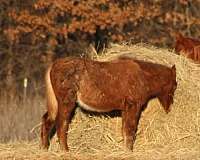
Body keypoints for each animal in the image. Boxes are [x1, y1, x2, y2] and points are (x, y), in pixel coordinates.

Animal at [40, 57, 177, 152]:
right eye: (175, 85)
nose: (170, 107)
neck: (143, 76)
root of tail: (54, 65)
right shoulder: (133, 106)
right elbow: (130, 130)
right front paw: (129, 151)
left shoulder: (125, 109)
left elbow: (125, 130)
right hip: (66, 103)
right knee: (61, 125)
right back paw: (65, 151)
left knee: (47, 120)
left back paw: (45, 148)